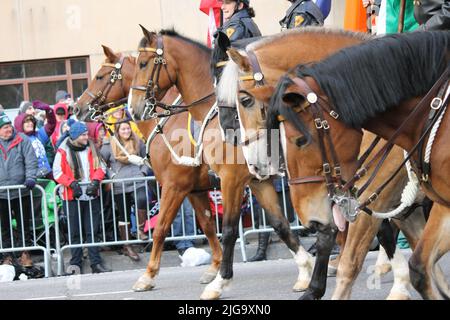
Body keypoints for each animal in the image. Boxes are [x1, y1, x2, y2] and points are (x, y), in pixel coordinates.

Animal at [74, 45, 224, 288]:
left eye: (100, 76)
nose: (76, 108)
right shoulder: (194, 189)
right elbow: (208, 224)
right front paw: (215, 268)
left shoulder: (174, 186)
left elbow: (160, 228)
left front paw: (148, 275)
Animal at [126, 26, 308, 300]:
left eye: (144, 63)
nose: (134, 108)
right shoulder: (249, 181)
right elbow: (276, 224)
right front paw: (305, 270)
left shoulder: (192, 184)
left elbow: (218, 230)